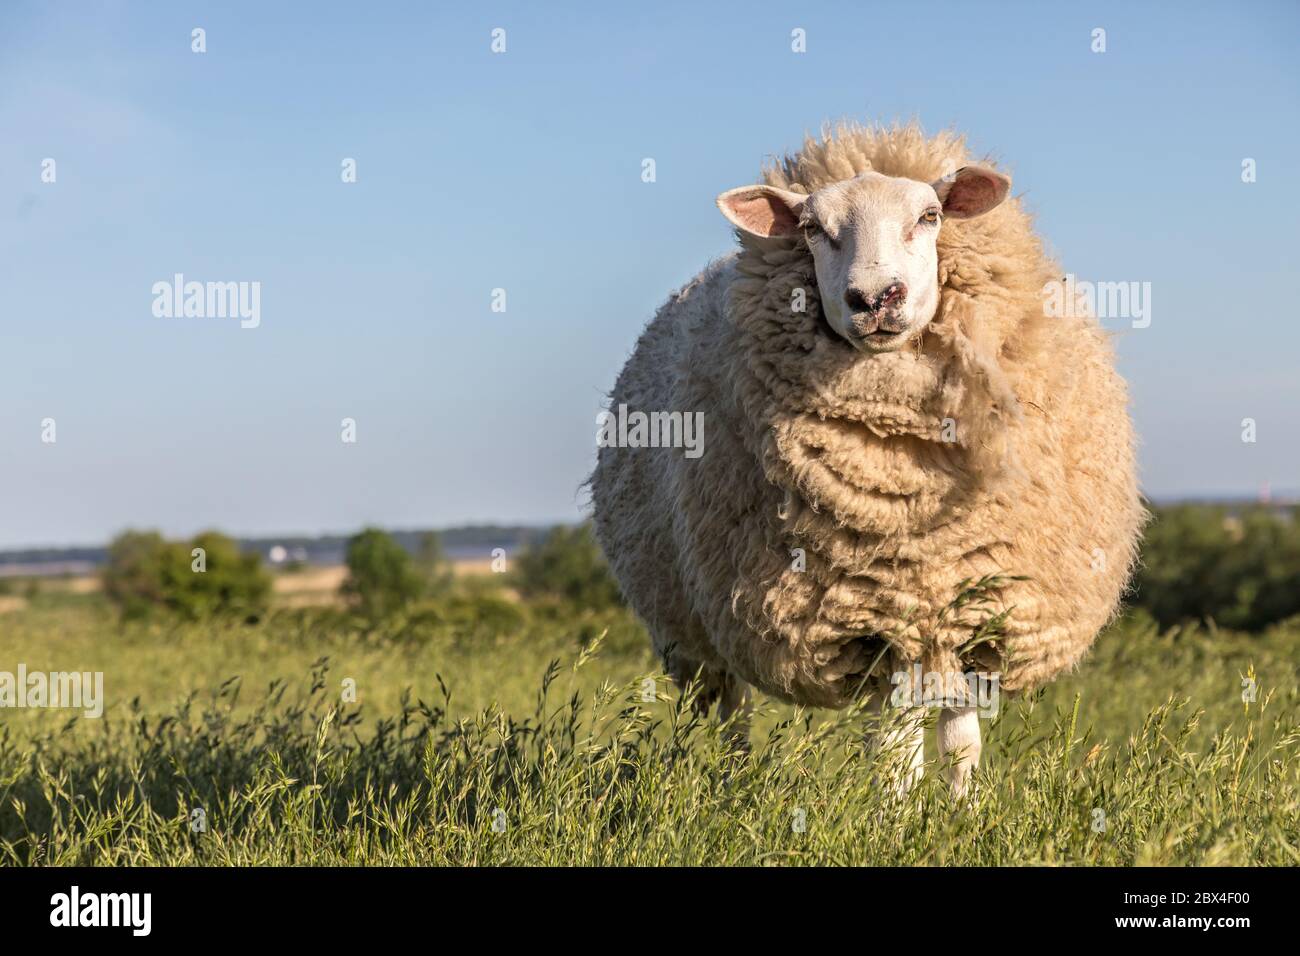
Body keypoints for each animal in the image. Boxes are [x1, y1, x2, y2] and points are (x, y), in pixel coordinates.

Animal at [590, 122, 1144, 795]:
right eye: (811, 227)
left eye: (930, 216)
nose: (876, 297)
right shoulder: (868, 619)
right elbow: (894, 746)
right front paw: (897, 810)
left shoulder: (973, 609)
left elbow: (961, 738)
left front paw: (961, 809)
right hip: (695, 625)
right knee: (732, 711)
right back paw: (735, 785)